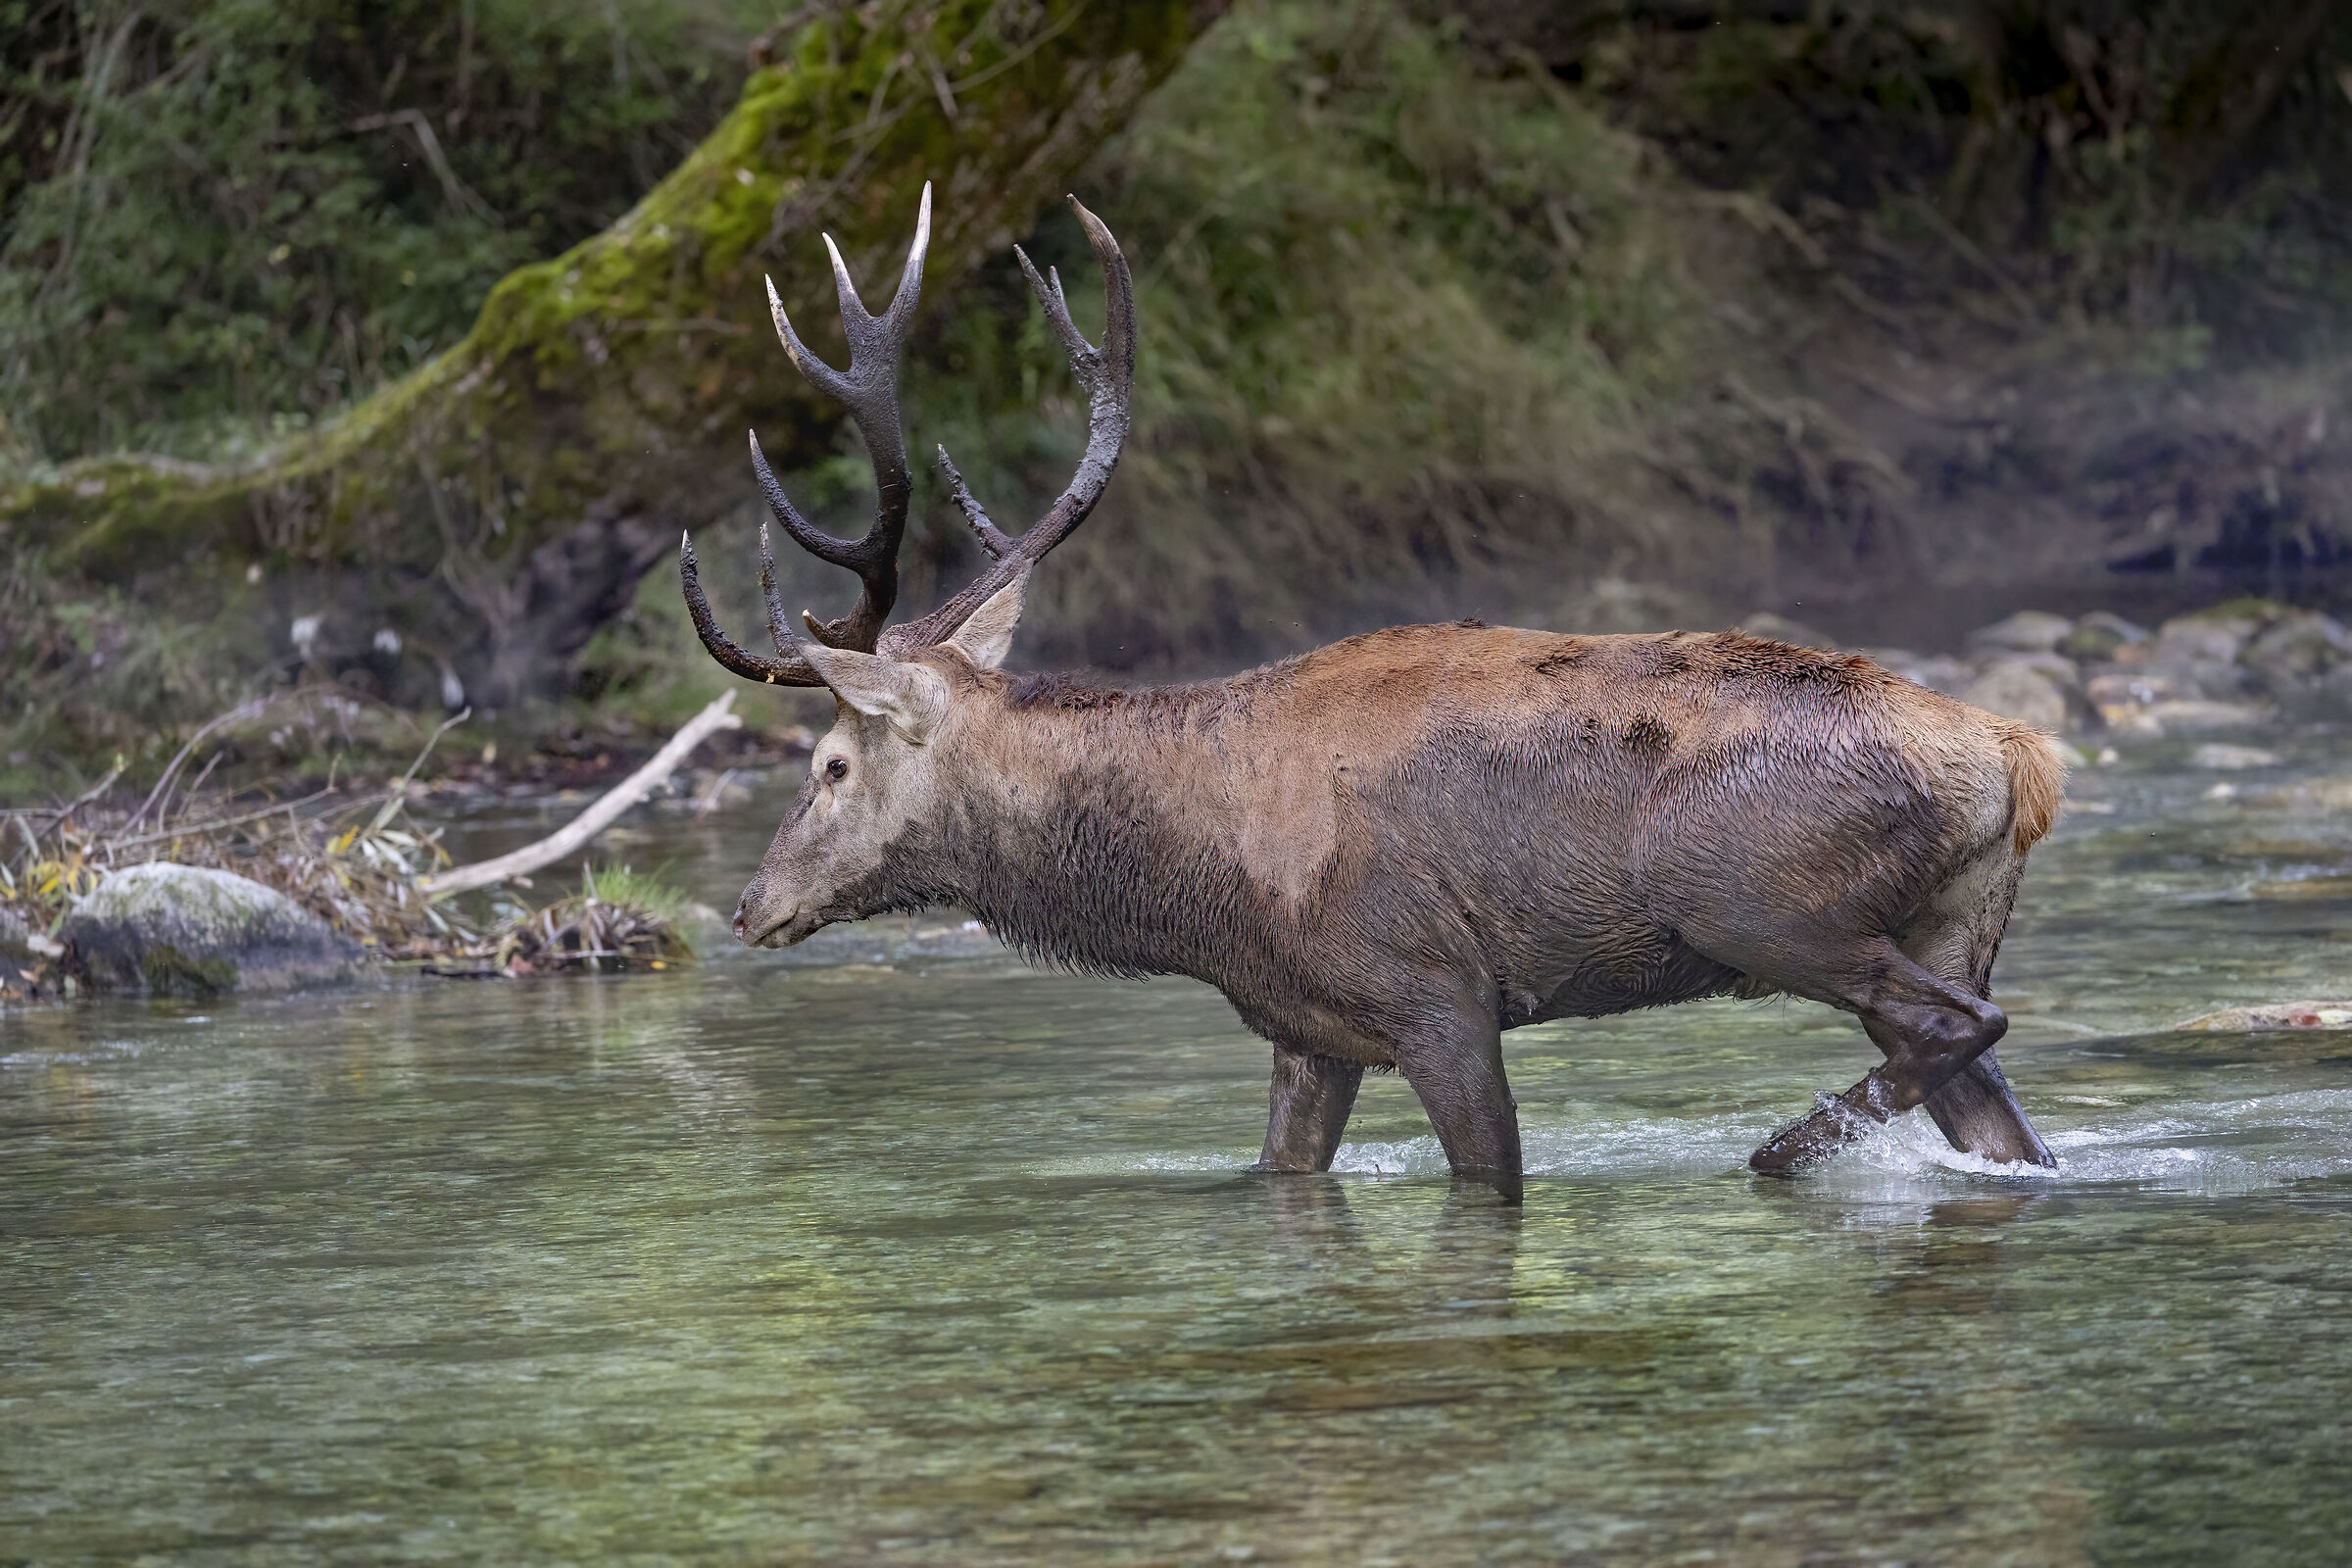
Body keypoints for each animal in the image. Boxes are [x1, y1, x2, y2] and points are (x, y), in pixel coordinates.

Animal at [680, 186, 2068, 1198]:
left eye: (830, 765)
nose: (747, 906)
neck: (1201, 885)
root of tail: (2019, 755)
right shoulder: (1307, 1026)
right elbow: (1280, 1175)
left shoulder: (1433, 993)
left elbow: (1488, 1176)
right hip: (1950, 906)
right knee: (2000, 1113)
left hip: (1762, 901)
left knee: (1963, 1024)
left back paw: (1778, 1152)